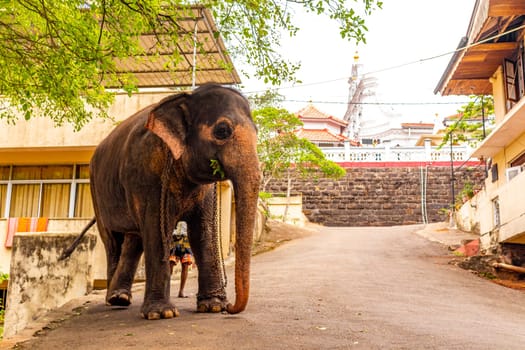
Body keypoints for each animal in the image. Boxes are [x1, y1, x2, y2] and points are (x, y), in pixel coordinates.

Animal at [90, 83, 262, 318]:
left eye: (257, 132)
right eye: (222, 131)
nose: (231, 308)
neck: (186, 97)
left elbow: (203, 231)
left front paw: (213, 306)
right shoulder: (147, 173)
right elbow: (156, 229)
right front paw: (161, 314)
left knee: (134, 239)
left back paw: (121, 298)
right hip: (96, 193)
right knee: (113, 241)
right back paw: (114, 300)